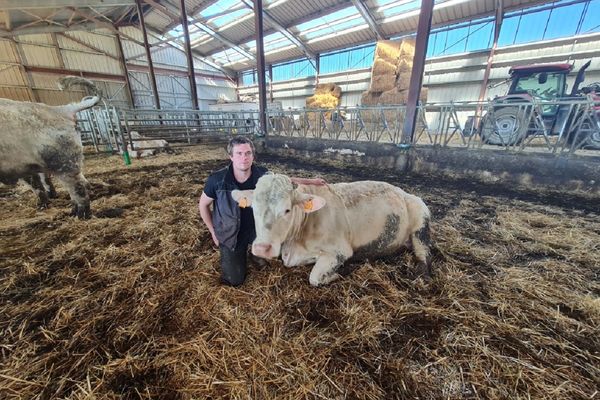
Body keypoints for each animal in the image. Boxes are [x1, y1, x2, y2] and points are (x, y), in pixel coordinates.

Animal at [232, 173, 434, 286]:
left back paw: (420, 275)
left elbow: (314, 278)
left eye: (287, 210)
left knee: (424, 254)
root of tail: (403, 192)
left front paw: (344, 271)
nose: (262, 248)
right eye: (253, 208)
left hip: (421, 225)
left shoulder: (339, 251)